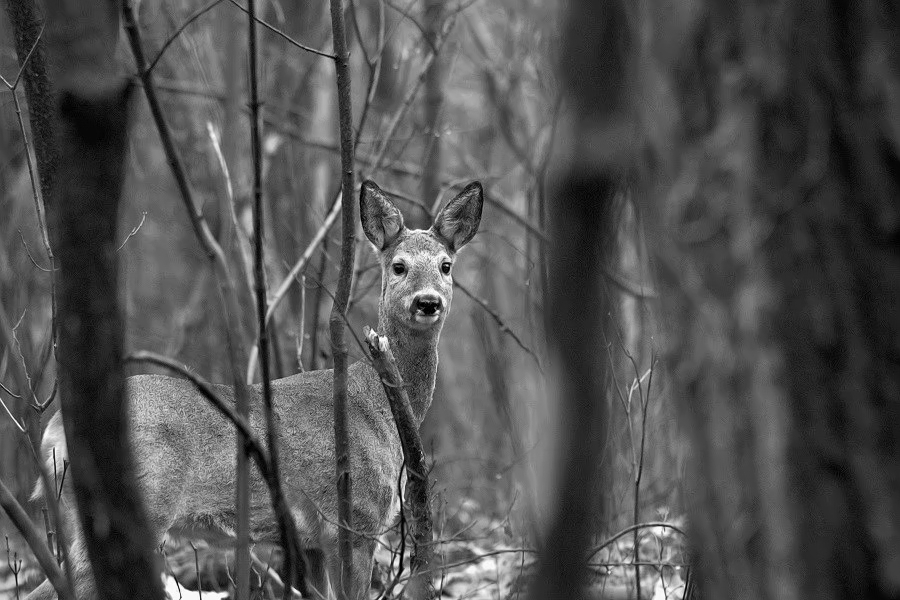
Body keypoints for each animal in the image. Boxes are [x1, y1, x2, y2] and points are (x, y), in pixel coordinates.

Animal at [29, 182, 486, 600]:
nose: (427, 302)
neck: (377, 406)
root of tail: (54, 430)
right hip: (145, 502)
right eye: (398, 266)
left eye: (446, 265)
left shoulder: (312, 541)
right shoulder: (356, 520)